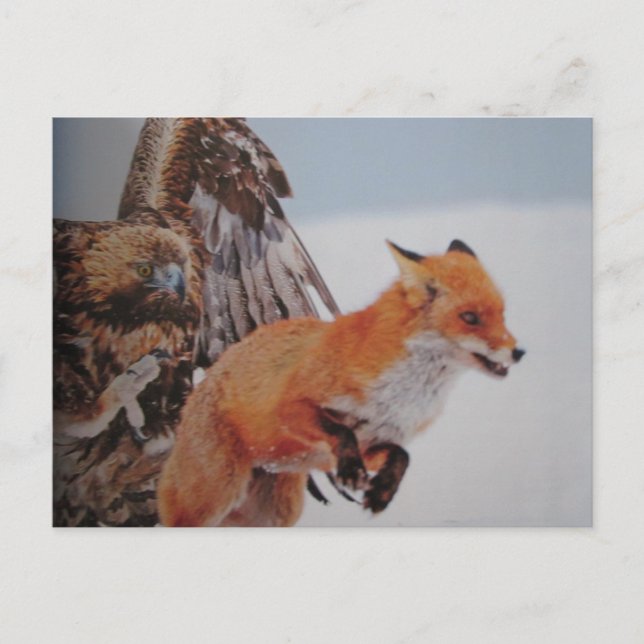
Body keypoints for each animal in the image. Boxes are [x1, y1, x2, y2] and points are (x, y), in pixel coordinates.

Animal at [157, 239, 524, 527]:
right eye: (470, 318)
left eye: (503, 314)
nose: (518, 352)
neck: (402, 395)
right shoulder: (291, 408)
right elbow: (339, 429)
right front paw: (351, 472)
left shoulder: (376, 442)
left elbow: (402, 455)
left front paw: (382, 491)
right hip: (210, 501)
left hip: (275, 514)